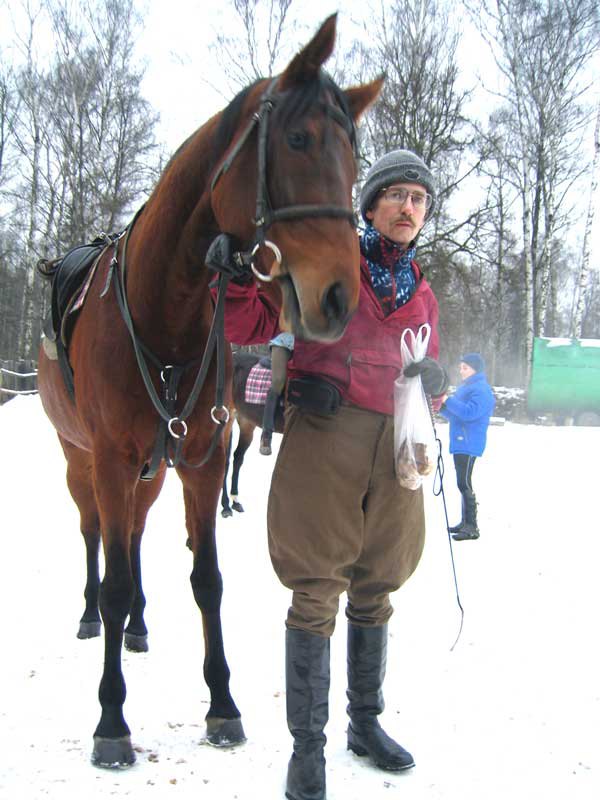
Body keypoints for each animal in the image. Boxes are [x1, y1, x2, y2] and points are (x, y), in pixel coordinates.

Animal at [35, 14, 382, 768]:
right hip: (82, 460)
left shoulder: (198, 457)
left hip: (151, 469)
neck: (163, 314)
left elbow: (207, 580)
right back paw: (93, 616)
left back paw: (138, 623)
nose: (339, 297)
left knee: (132, 533)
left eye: (354, 155)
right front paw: (112, 718)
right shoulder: (112, 459)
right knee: (95, 536)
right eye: (298, 139)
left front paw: (223, 703)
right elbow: (111, 573)